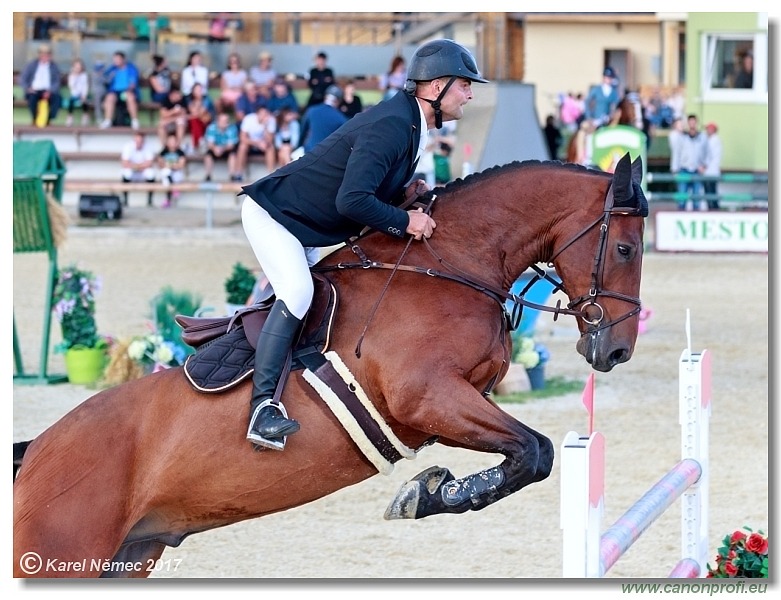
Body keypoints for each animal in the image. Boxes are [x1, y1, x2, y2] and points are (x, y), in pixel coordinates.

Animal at [12, 154, 644, 576]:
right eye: (625, 248)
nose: (616, 351)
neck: (450, 264)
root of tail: (36, 453)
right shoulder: (428, 398)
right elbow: (535, 452)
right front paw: (423, 496)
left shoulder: (454, 404)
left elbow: (529, 454)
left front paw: (430, 492)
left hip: (122, 558)